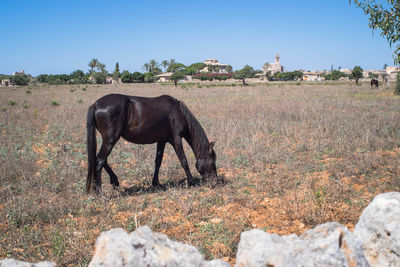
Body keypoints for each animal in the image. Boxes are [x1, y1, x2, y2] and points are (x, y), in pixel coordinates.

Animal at [85, 94, 220, 195]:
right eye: (213, 163)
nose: (215, 182)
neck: (178, 111)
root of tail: (96, 104)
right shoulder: (176, 139)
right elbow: (183, 161)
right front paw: (191, 182)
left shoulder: (162, 140)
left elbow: (158, 161)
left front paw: (156, 183)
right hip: (110, 140)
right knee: (99, 161)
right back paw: (99, 192)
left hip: (109, 141)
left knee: (101, 160)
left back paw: (114, 182)